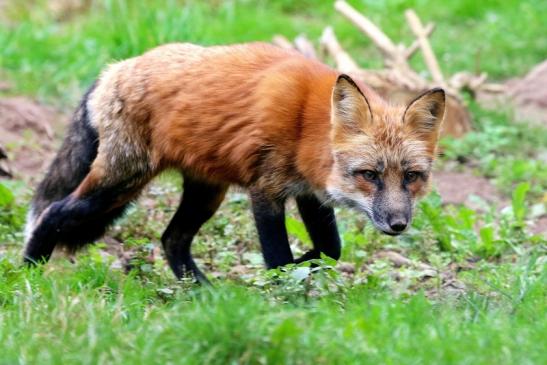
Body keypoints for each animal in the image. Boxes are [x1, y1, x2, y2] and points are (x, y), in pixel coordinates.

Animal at [23, 42, 448, 282]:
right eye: (370, 175)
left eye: (412, 176)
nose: (398, 224)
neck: (304, 126)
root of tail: (115, 68)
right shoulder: (267, 191)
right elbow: (278, 259)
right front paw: (285, 293)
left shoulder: (310, 193)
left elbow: (330, 249)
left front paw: (301, 269)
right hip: (121, 184)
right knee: (54, 212)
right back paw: (28, 271)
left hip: (206, 192)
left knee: (171, 240)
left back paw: (207, 295)